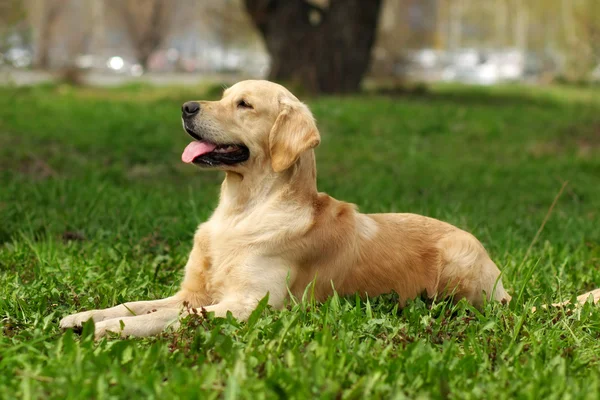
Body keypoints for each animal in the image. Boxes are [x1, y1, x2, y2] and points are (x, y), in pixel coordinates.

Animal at [59, 79, 600, 338]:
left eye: (244, 105)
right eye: (222, 95)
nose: (187, 107)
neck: (243, 209)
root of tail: (503, 287)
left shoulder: (248, 305)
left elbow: (164, 320)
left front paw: (112, 331)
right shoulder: (192, 293)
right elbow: (137, 304)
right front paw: (83, 316)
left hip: (458, 262)